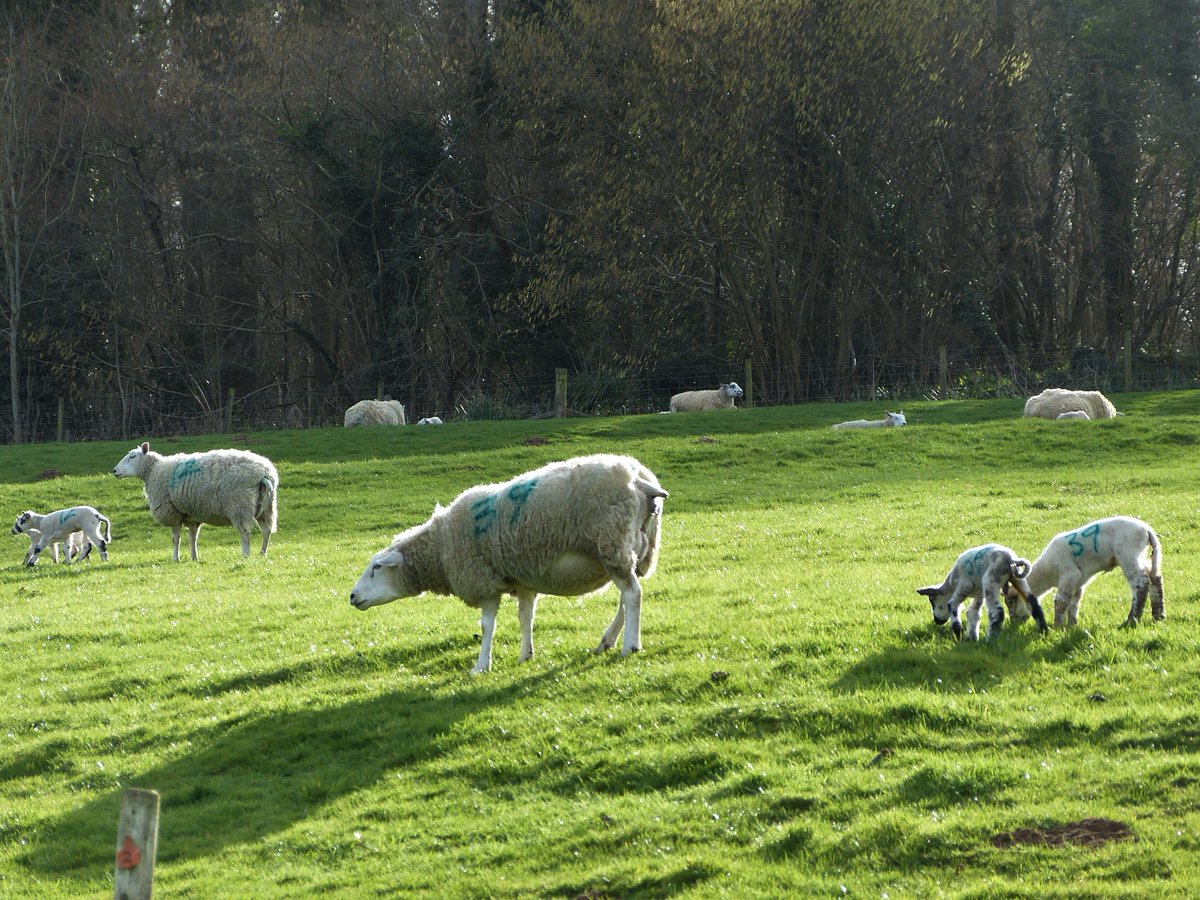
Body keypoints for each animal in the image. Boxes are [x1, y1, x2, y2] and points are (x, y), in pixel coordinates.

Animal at [111, 442, 279, 561]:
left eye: (132, 456)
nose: (114, 471)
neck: (153, 470)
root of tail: (263, 472)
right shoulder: (192, 515)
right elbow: (193, 538)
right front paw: (194, 557)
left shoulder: (173, 513)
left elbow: (175, 539)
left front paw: (175, 558)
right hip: (267, 506)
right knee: (267, 530)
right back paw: (262, 553)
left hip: (239, 505)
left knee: (245, 532)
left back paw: (246, 554)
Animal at [349, 454, 668, 674]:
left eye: (376, 568)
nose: (352, 596)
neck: (440, 545)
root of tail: (638, 479)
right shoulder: (524, 579)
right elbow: (526, 617)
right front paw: (525, 655)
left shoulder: (483, 581)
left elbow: (487, 626)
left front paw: (481, 666)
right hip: (632, 550)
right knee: (627, 596)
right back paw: (607, 641)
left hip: (612, 542)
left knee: (632, 594)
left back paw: (630, 645)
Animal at [917, 543, 1048, 641]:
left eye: (932, 601)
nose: (937, 621)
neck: (951, 584)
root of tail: (1011, 560)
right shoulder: (979, 594)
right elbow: (972, 613)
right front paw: (971, 638)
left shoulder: (964, 586)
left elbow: (952, 606)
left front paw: (959, 635)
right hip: (1018, 580)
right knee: (1033, 603)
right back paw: (1044, 630)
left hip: (990, 581)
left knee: (998, 612)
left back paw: (991, 639)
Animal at [1004, 516, 1164, 628]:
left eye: (1011, 602)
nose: (1013, 622)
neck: (1047, 572)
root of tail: (1146, 530)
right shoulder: (1079, 581)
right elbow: (1074, 602)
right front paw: (1072, 625)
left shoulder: (1069, 575)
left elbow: (1061, 601)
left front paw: (1057, 627)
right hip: (1141, 555)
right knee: (1154, 577)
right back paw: (1158, 616)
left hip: (1129, 554)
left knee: (1141, 584)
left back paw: (1132, 620)